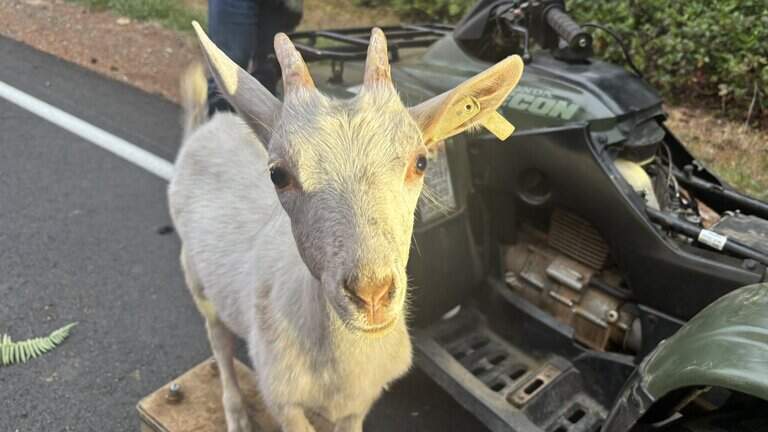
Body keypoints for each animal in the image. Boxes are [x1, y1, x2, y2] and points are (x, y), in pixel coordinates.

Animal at [168, 22, 523, 432]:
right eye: (278, 175)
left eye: (420, 162)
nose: (371, 294)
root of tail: (204, 128)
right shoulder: (284, 399)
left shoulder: (359, 405)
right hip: (198, 280)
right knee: (220, 342)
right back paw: (237, 413)